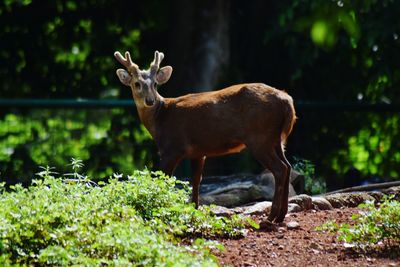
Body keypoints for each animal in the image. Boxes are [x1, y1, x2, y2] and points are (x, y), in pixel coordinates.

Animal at [114, 50, 296, 224]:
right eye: (137, 84)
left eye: (155, 84)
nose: (150, 101)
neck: (160, 118)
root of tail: (287, 101)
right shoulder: (198, 152)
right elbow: (196, 180)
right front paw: (194, 209)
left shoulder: (172, 148)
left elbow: (163, 179)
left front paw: (161, 208)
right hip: (276, 139)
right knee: (288, 166)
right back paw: (281, 215)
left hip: (260, 138)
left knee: (280, 169)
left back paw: (271, 217)